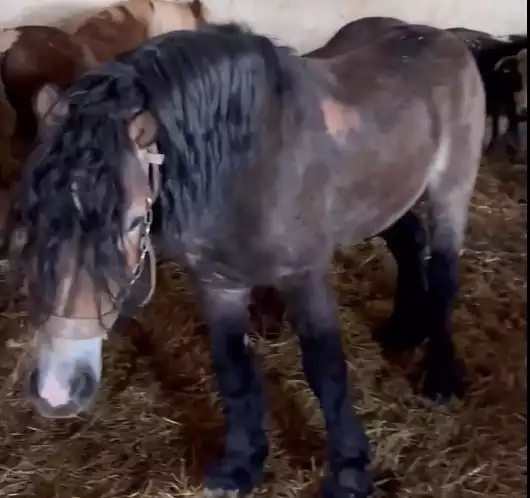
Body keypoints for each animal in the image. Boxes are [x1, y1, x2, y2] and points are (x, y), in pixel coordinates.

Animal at [10, 19, 484, 498]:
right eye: (34, 216)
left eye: (132, 222)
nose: (56, 391)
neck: (246, 164)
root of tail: (437, 35)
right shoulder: (217, 284)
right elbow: (233, 369)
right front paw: (242, 465)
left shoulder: (305, 275)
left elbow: (326, 370)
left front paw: (349, 472)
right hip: (382, 198)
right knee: (409, 241)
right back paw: (403, 329)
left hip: (451, 190)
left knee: (443, 271)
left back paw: (441, 378)